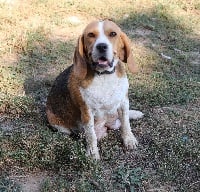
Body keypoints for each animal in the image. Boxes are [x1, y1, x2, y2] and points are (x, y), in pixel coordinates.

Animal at [46, 20, 144, 160]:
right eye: (91, 35)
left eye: (113, 34)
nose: (102, 46)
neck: (104, 76)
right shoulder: (87, 112)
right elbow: (91, 135)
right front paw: (92, 153)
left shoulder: (124, 102)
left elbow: (126, 124)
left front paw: (129, 139)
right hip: (58, 124)